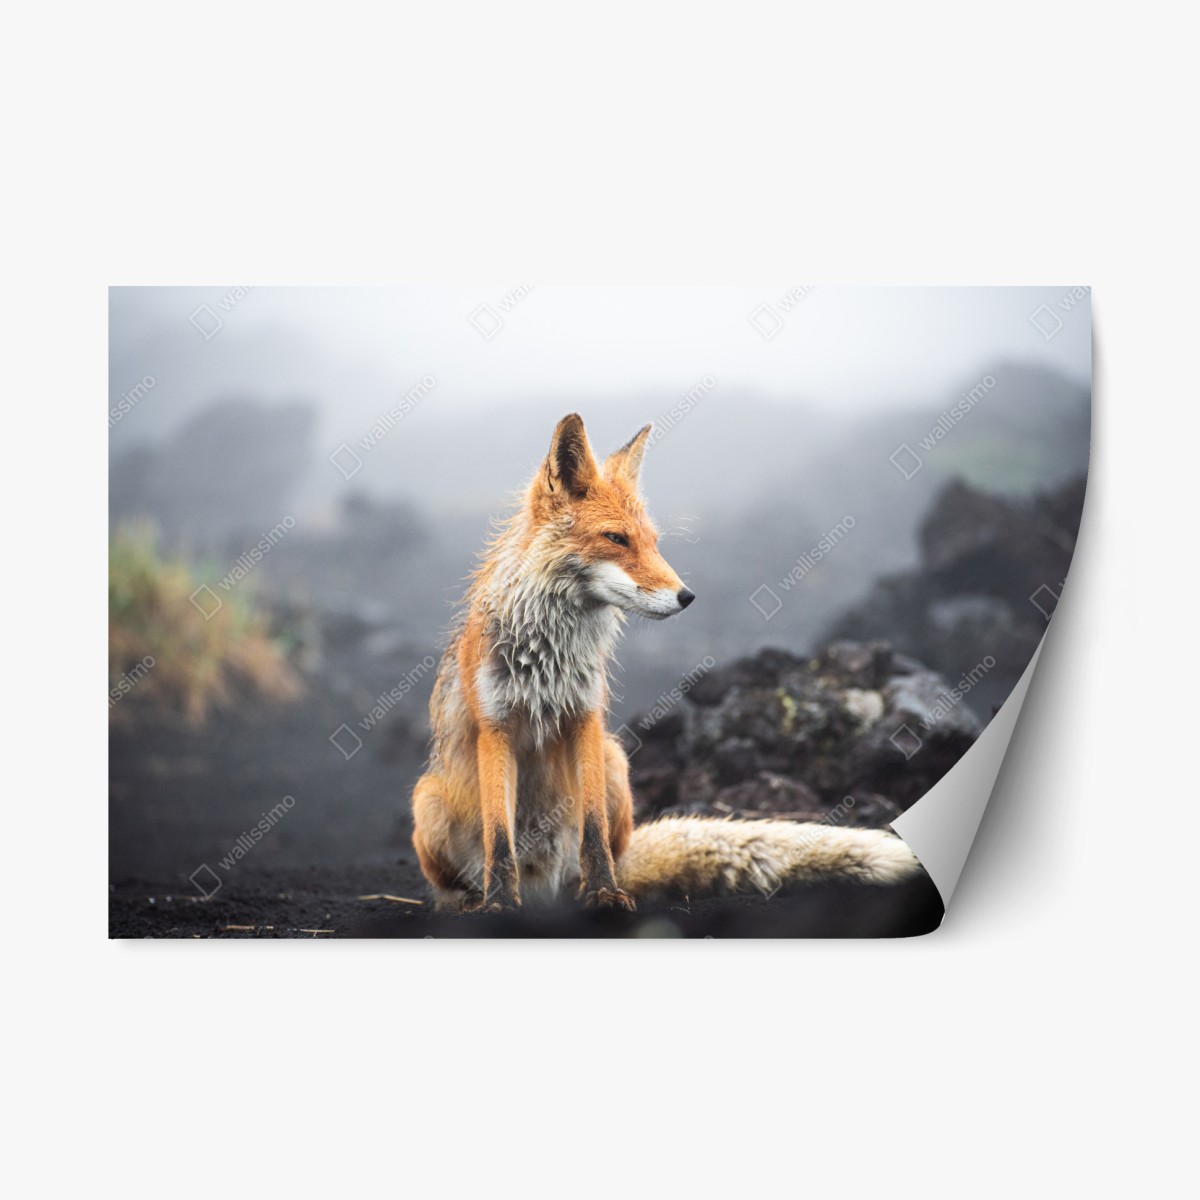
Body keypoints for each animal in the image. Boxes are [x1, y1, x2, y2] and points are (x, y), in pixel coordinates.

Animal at [410, 413, 921, 912]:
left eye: (653, 542)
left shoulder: (585, 717)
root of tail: (544, 890)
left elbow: (593, 829)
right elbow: (500, 836)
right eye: (615, 538)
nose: (687, 596)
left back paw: (584, 891)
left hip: (615, 762)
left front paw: (604, 894)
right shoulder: (495, 726)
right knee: (454, 882)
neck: (549, 658)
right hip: (427, 800)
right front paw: (499, 903)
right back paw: (470, 902)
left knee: (604, 854)